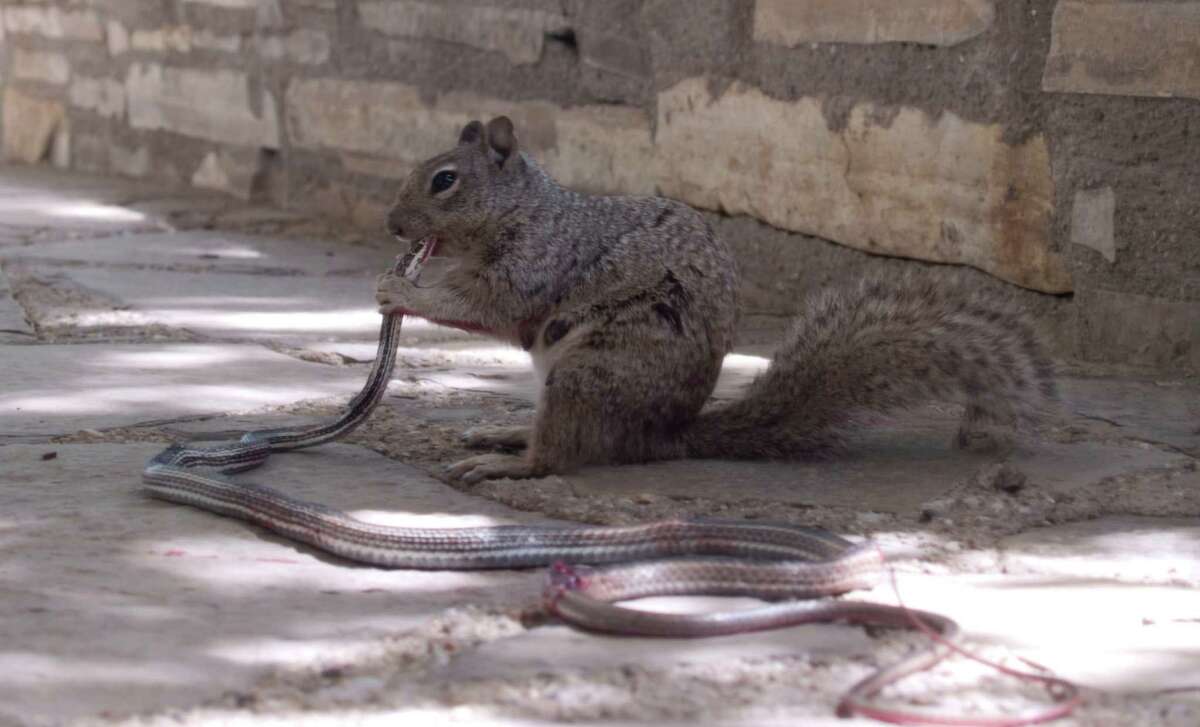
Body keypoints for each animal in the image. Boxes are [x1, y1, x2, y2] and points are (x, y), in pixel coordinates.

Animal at [376, 116, 1057, 484]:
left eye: (445, 180)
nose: (391, 224)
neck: (526, 209)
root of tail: (666, 436)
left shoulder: (538, 261)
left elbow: (486, 305)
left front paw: (400, 289)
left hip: (591, 372)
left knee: (566, 454)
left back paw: (513, 463)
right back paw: (506, 432)